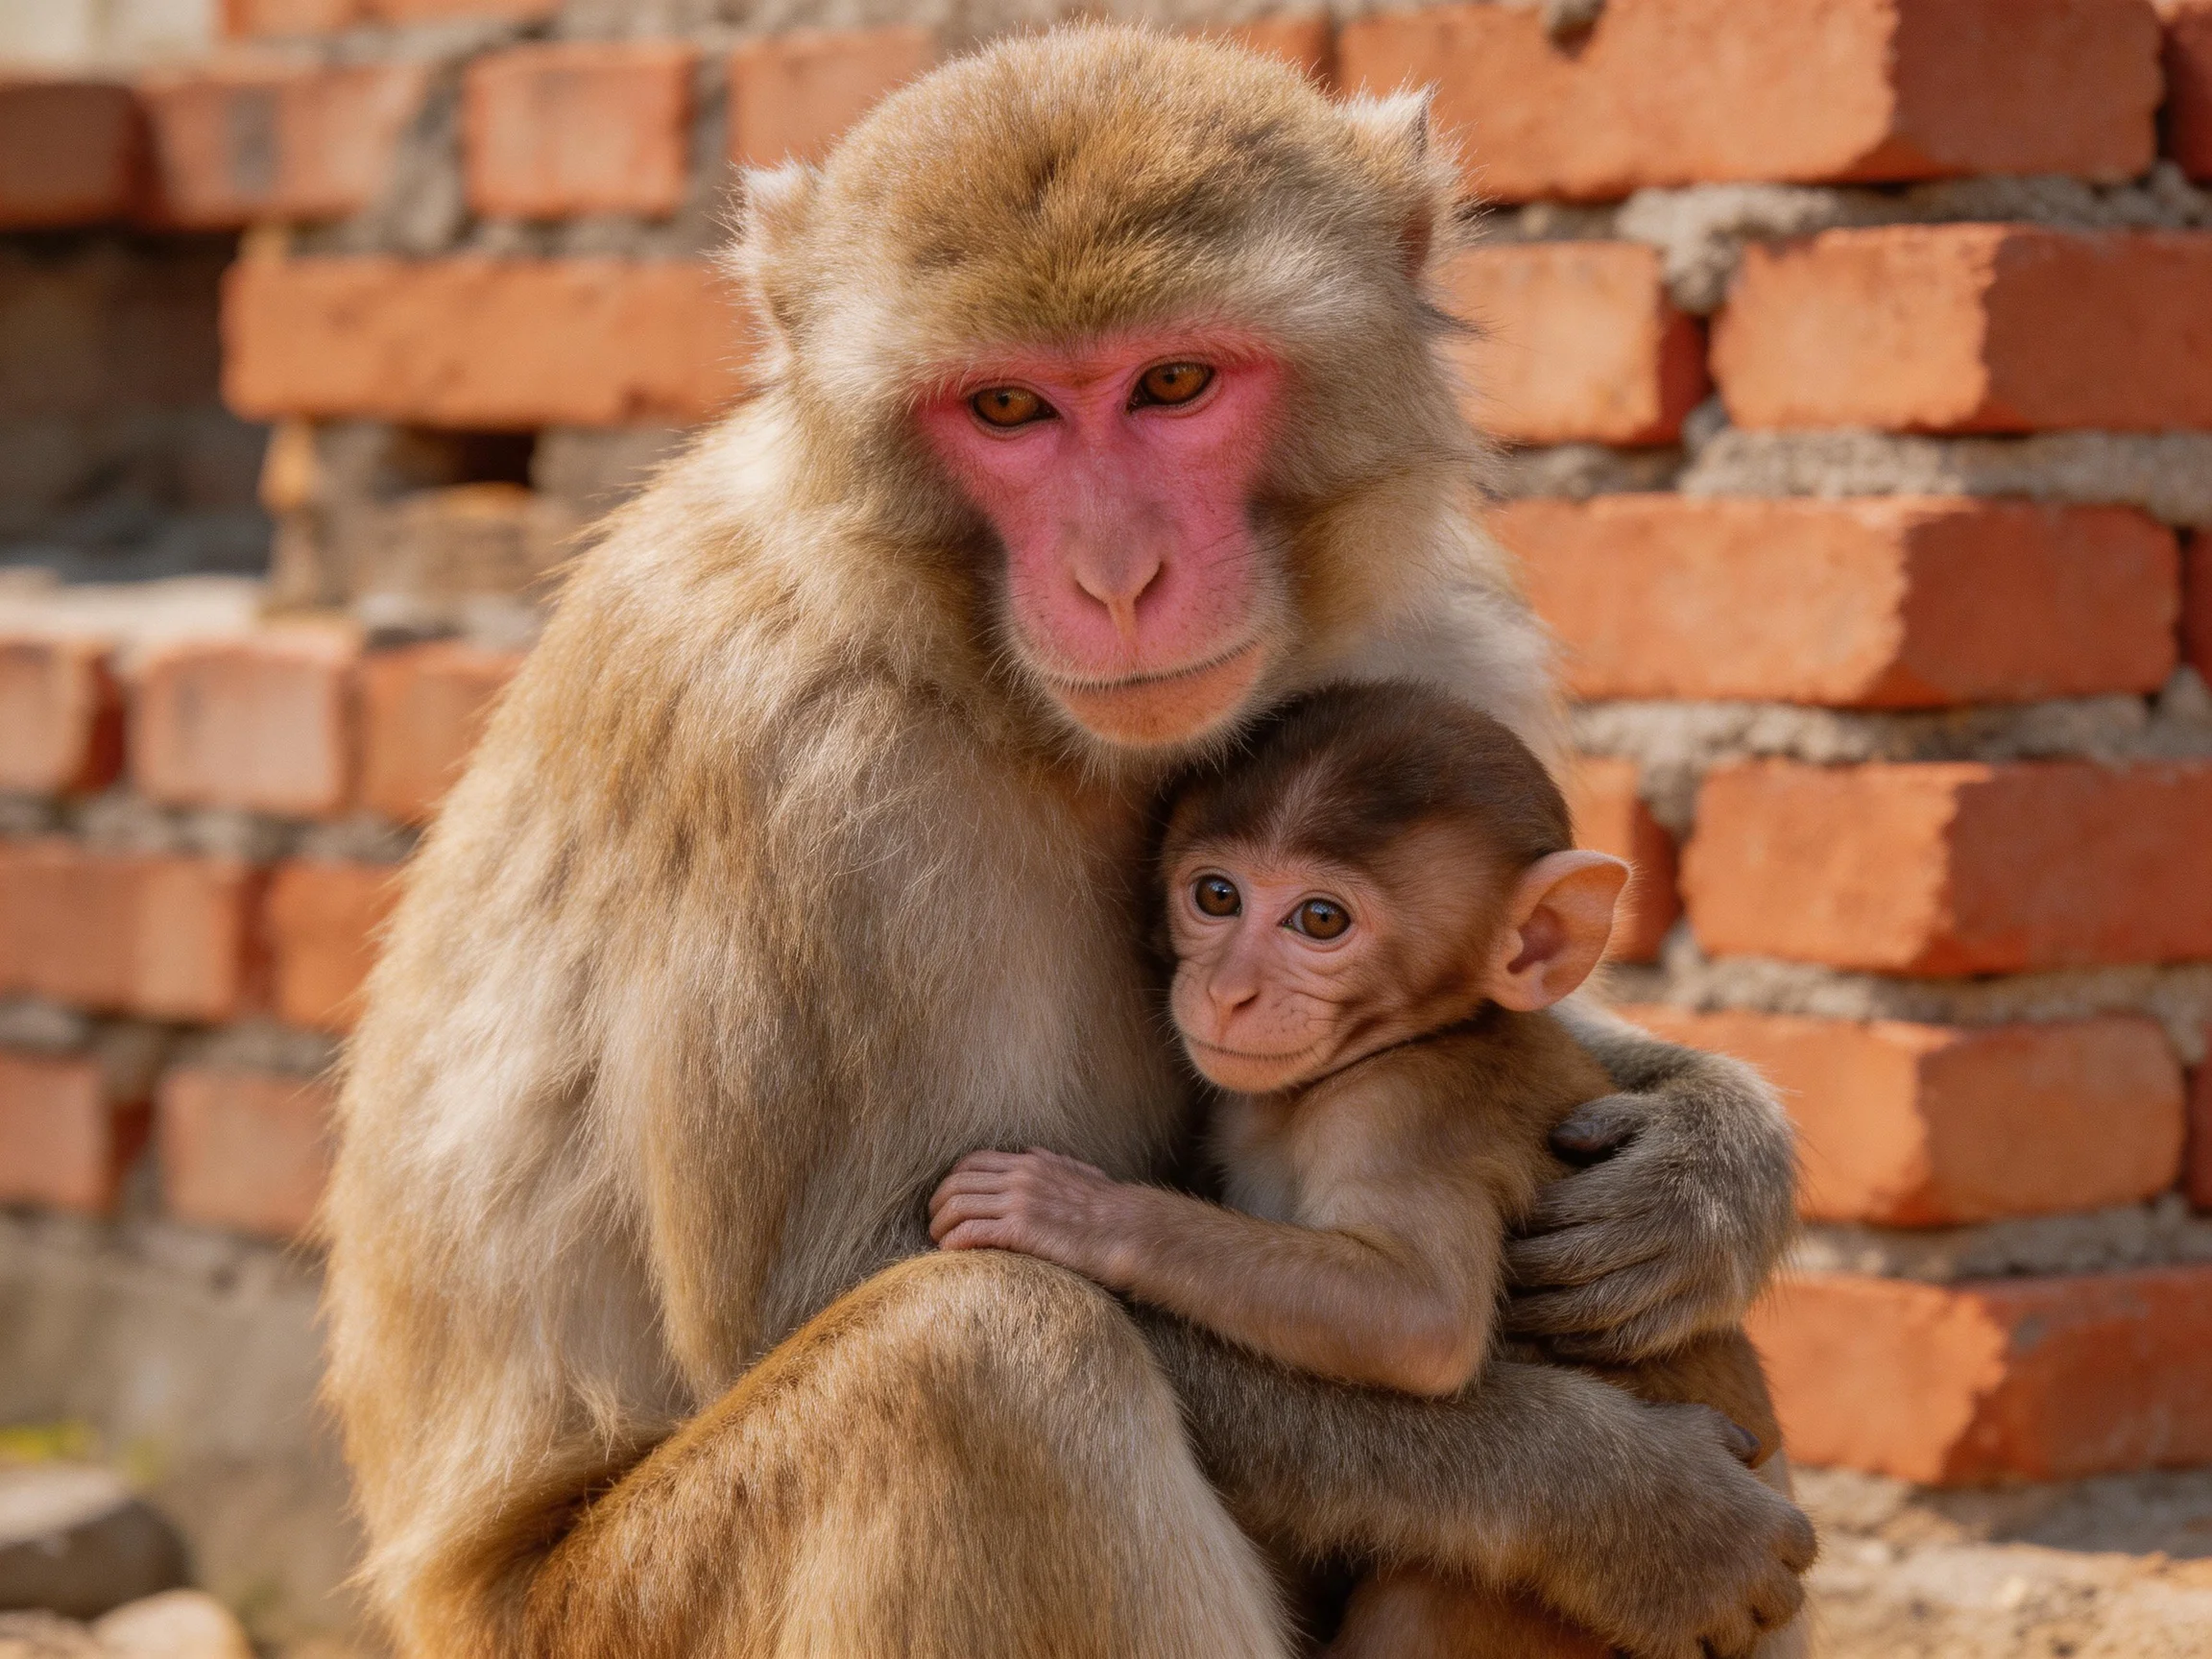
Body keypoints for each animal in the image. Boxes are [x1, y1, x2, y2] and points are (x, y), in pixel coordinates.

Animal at [929, 681, 1803, 1659]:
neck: (1413, 1035)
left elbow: (1417, 1315)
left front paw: (1067, 1210)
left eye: (1320, 920)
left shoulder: (1403, 1112)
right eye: (1217, 896)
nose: (1226, 991)